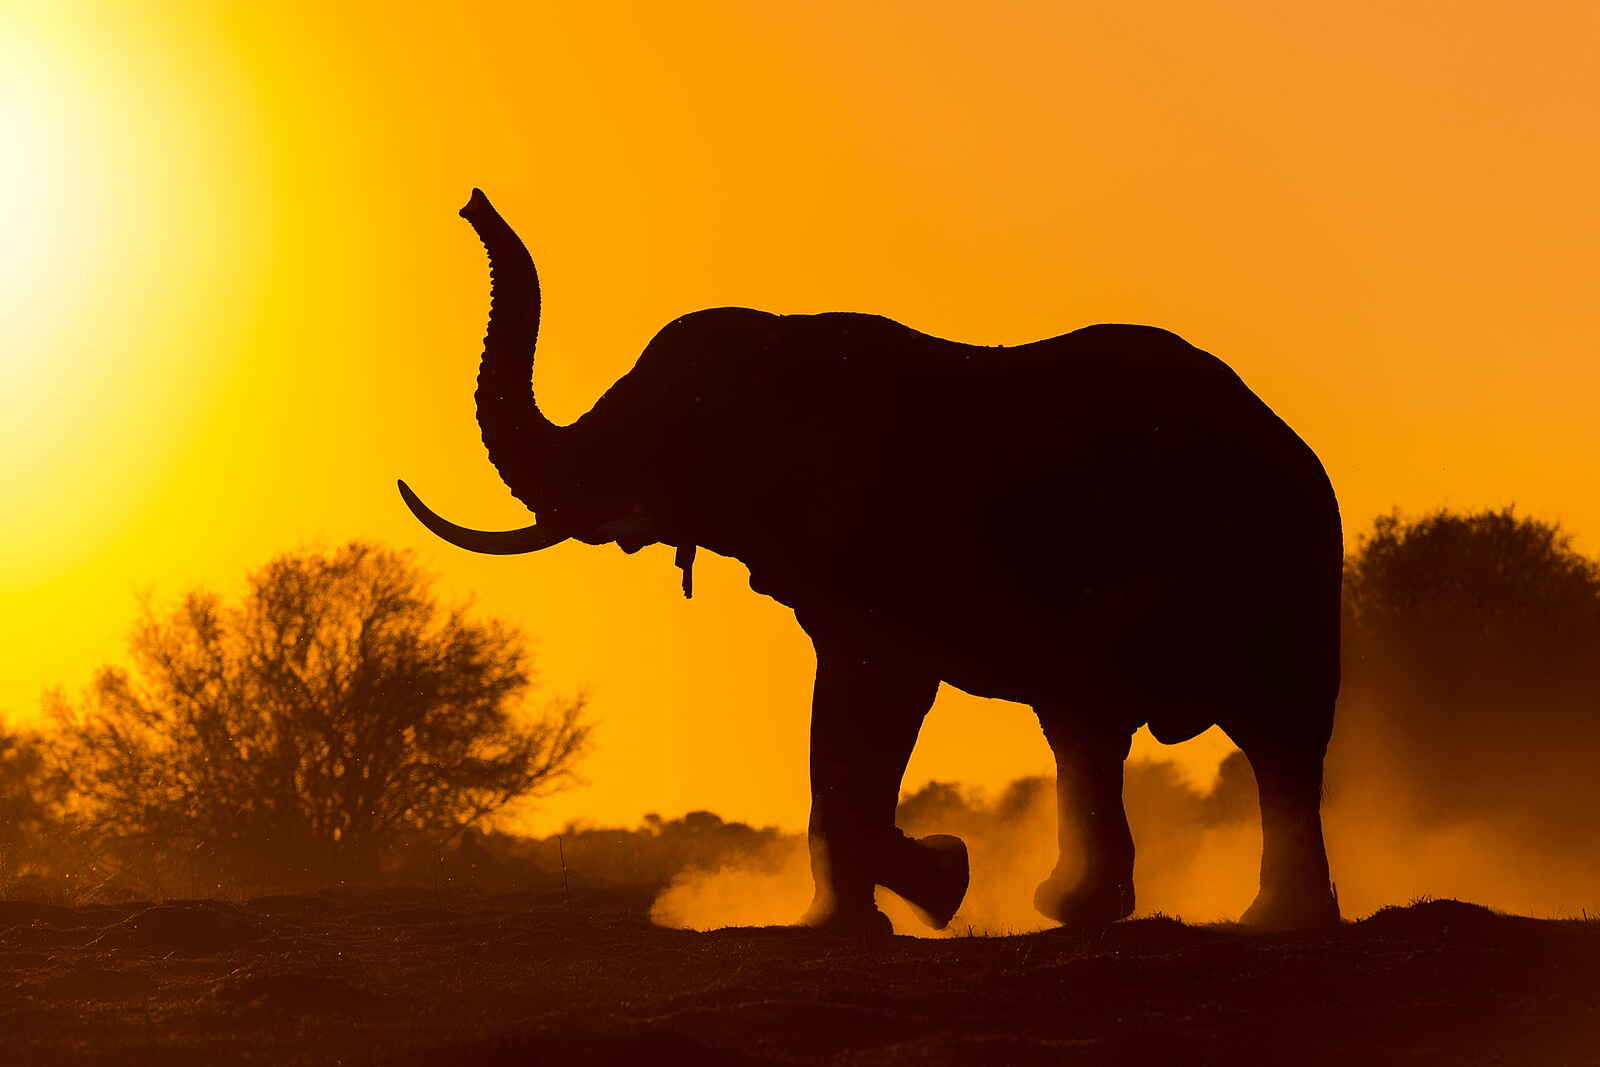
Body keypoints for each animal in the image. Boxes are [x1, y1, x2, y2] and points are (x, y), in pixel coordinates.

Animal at [400, 189, 1342, 935]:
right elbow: (840, 713)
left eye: (667, 425)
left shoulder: (884, 546)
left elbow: (879, 692)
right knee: (1097, 726)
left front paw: (941, 879)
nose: (469, 201)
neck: (786, 346)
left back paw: (1259, 919)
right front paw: (857, 916)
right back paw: (1096, 909)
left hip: (1280, 564)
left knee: (1273, 734)